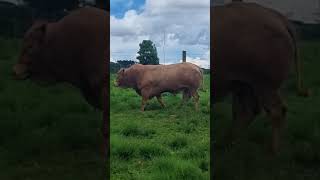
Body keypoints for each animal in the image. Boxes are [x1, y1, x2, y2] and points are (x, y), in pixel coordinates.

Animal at [211, 1, 308, 153]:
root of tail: (278, 17)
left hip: (264, 85)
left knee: (276, 111)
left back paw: (272, 151)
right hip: (244, 84)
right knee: (246, 112)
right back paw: (224, 142)